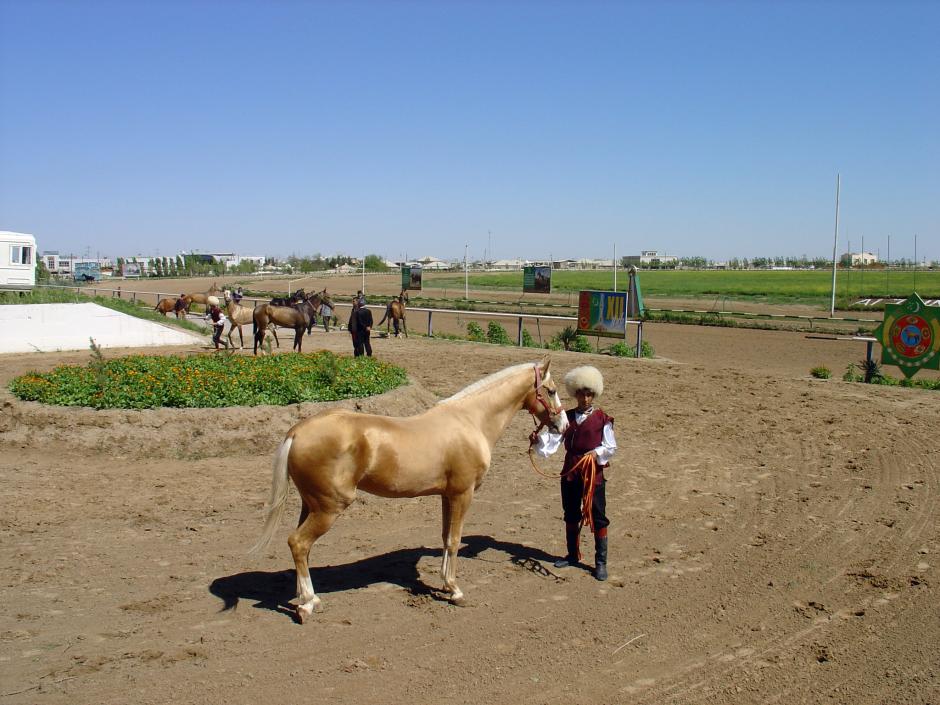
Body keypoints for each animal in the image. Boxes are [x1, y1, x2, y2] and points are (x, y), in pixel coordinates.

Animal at [248, 357, 569, 622]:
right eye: (552, 390)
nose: (563, 425)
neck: (471, 420)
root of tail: (297, 432)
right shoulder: (463, 494)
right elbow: (455, 539)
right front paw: (455, 591)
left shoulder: (446, 495)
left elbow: (445, 538)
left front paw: (446, 585)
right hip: (329, 508)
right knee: (298, 543)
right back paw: (306, 604)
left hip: (310, 505)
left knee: (302, 547)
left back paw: (309, 598)